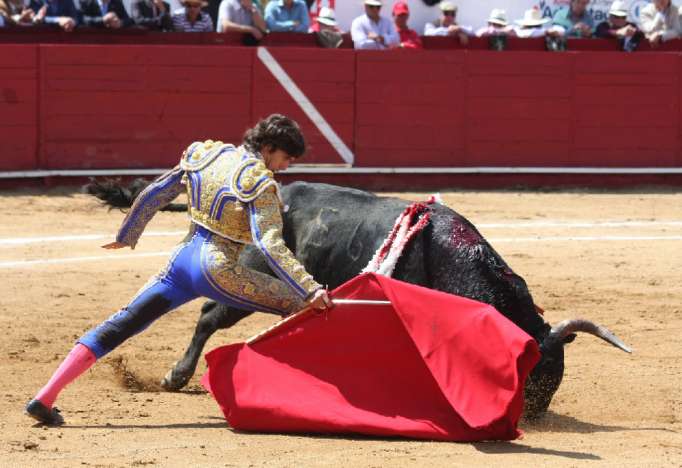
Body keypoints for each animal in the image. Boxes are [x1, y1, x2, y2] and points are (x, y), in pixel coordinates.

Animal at [87, 178, 628, 416]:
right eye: (533, 368)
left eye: (557, 371)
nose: (533, 415)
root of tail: (263, 200)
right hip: (252, 282)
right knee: (206, 317)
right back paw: (176, 376)